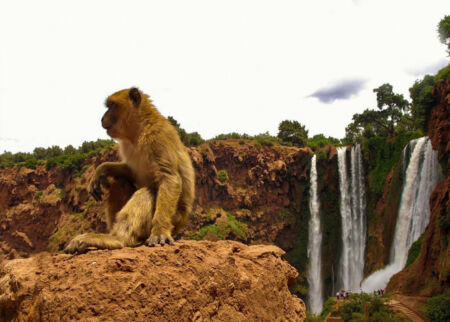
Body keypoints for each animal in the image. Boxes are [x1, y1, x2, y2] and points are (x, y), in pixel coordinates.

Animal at [64, 88, 194, 254]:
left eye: (111, 105)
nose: (102, 118)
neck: (139, 130)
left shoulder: (158, 136)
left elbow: (169, 178)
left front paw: (160, 231)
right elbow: (130, 172)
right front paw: (102, 170)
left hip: (173, 220)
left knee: (148, 192)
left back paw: (117, 239)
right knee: (119, 182)